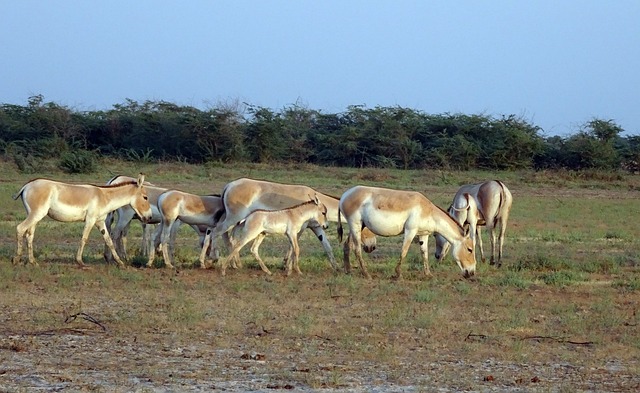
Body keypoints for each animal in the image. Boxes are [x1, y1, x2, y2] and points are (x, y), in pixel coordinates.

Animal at [13, 174, 153, 266]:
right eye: (145, 197)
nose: (150, 217)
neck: (104, 197)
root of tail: (27, 185)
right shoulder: (90, 220)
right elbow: (84, 238)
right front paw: (80, 261)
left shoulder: (100, 222)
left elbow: (109, 240)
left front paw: (120, 262)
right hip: (37, 214)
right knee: (20, 228)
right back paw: (16, 259)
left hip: (34, 215)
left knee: (30, 235)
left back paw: (32, 261)